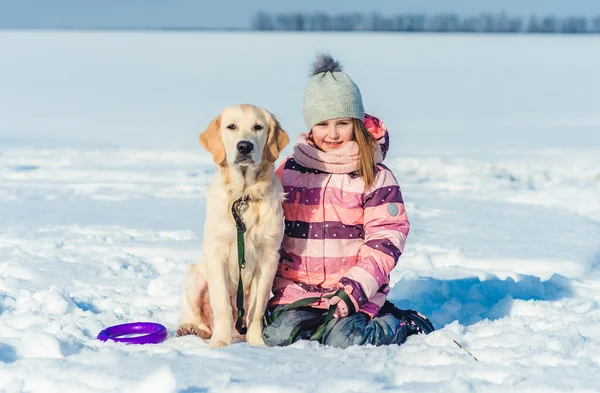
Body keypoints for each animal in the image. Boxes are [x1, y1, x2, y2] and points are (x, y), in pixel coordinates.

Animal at [177, 104, 290, 346]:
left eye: (258, 127)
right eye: (231, 126)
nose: (244, 146)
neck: (243, 195)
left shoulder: (268, 256)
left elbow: (256, 309)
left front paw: (257, 344)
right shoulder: (216, 252)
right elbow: (222, 305)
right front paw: (220, 343)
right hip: (194, 278)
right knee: (200, 320)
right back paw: (190, 329)